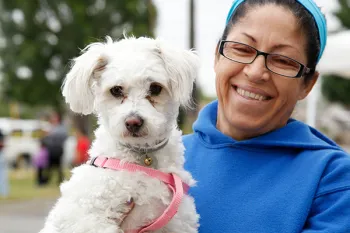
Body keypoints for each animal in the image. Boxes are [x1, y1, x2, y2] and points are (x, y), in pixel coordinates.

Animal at [39, 35, 200, 233]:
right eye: (116, 90)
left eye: (155, 88)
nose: (133, 122)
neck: (142, 160)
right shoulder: (84, 218)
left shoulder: (177, 222)